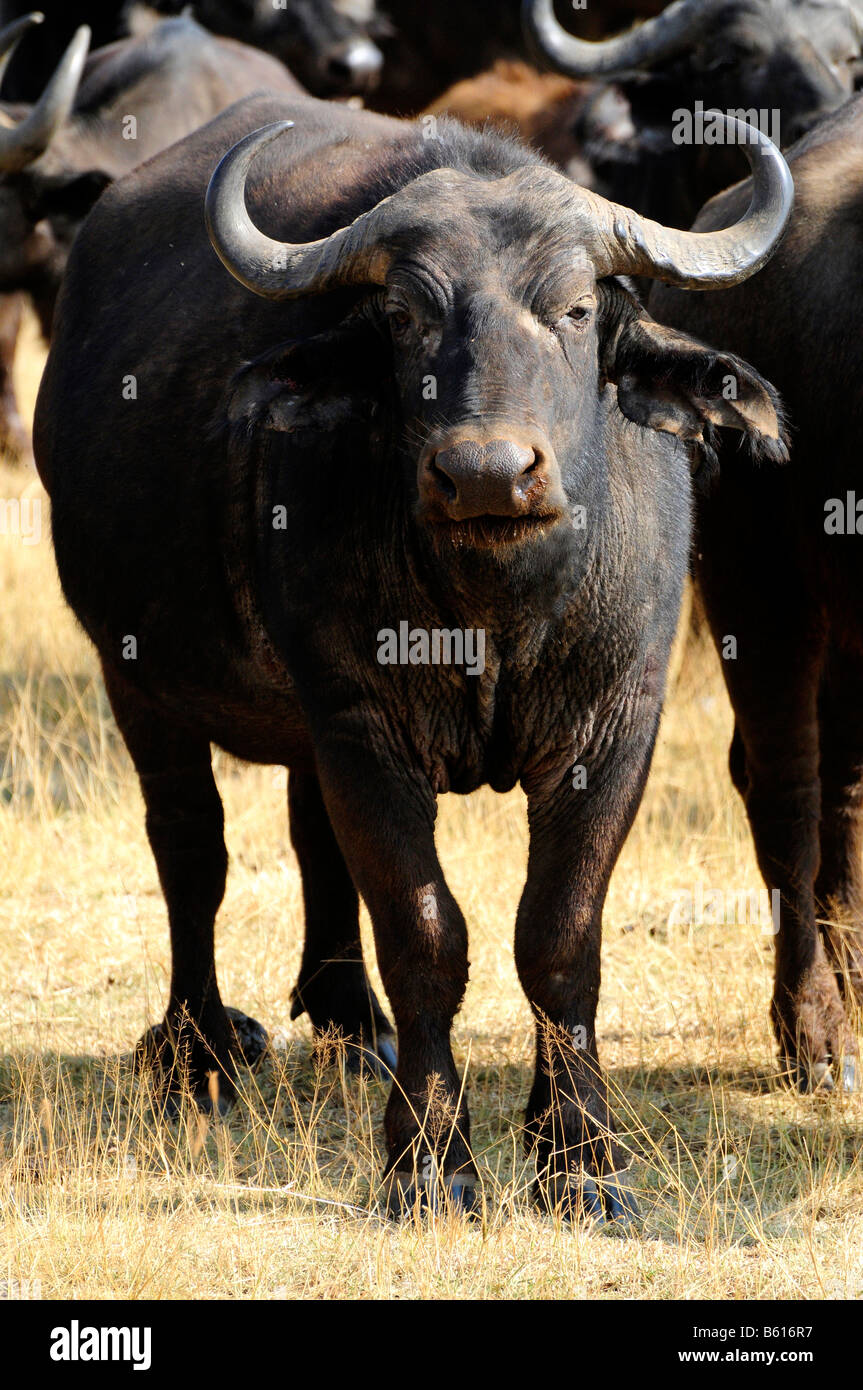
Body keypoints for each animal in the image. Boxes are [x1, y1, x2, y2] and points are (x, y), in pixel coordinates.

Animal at [33, 95, 789, 1217]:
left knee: (309, 838)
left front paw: (578, 1156)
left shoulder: (614, 721)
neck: (493, 606)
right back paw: (198, 1048)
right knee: (190, 851)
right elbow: (424, 932)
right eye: (403, 318)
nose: (485, 471)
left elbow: (558, 933)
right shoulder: (361, 721)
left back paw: (350, 1024)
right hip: (134, 679)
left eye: (574, 310)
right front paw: (430, 1160)